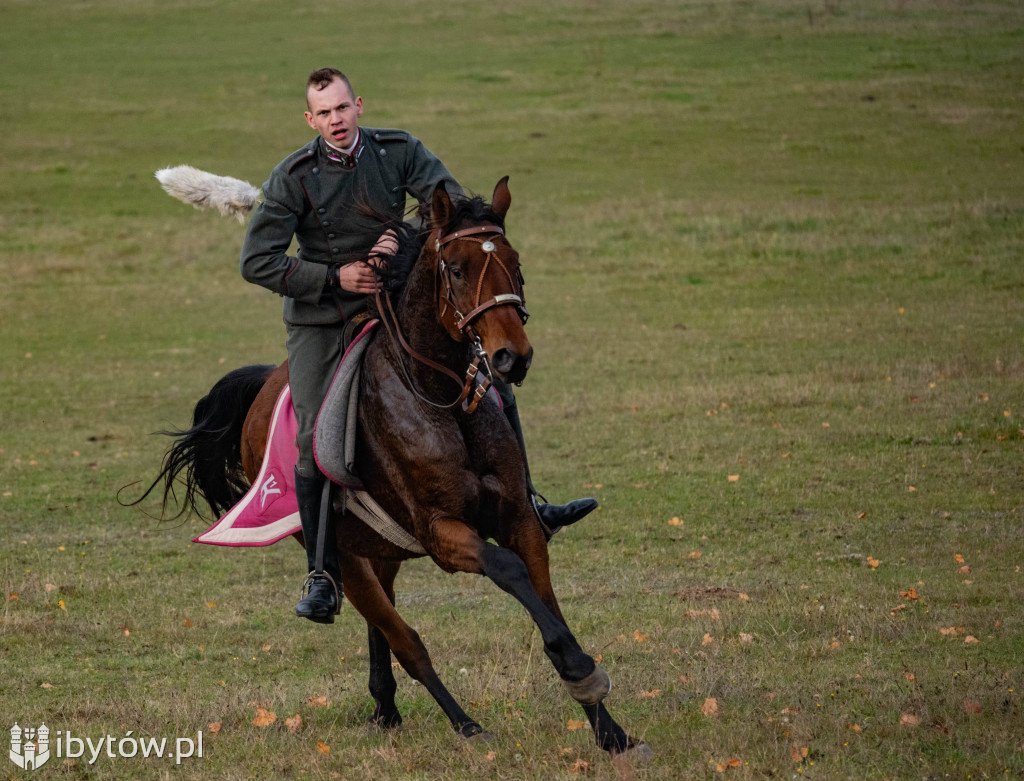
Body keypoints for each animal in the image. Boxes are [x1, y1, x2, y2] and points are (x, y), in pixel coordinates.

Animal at [138, 179, 647, 765]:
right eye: (455, 269)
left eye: (515, 262)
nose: (510, 358)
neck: (438, 397)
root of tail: (266, 385)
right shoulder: (444, 534)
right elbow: (507, 571)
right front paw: (581, 670)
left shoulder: (521, 520)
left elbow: (545, 599)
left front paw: (608, 728)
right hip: (341, 556)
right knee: (406, 642)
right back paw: (465, 724)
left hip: (379, 553)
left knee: (381, 629)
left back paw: (385, 707)